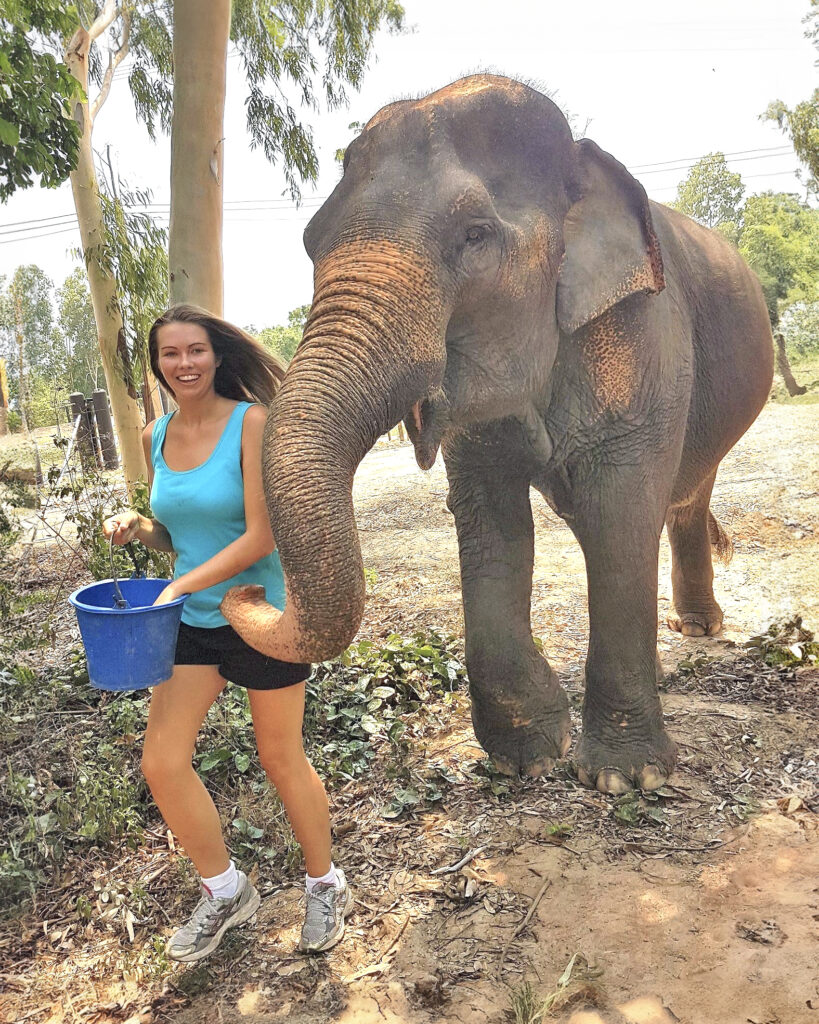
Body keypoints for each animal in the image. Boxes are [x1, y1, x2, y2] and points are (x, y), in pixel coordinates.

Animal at [222, 74, 773, 790]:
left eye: (475, 235)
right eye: (312, 242)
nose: (247, 589)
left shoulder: (642, 333)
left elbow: (621, 511)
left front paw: (626, 778)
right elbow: (492, 521)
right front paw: (527, 756)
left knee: (675, 499)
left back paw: (700, 629)